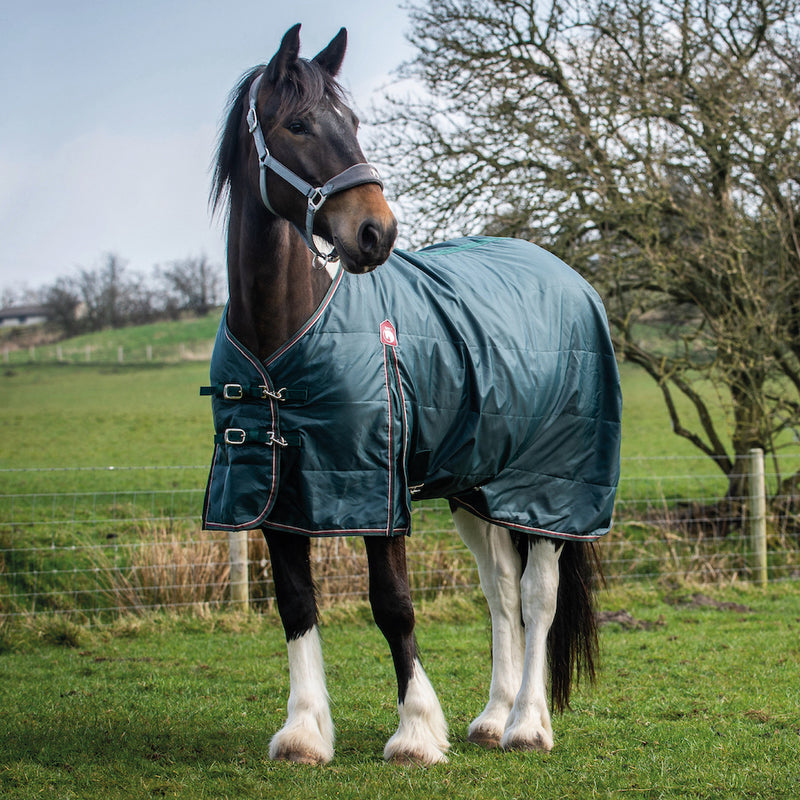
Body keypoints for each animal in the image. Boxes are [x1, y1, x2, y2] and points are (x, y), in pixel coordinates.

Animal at [203, 24, 621, 766]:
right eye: (299, 124)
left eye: (354, 124)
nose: (377, 232)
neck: (283, 333)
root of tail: (568, 276)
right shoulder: (280, 493)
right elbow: (295, 604)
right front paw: (305, 731)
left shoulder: (377, 489)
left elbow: (393, 603)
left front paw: (417, 732)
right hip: (477, 488)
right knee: (499, 593)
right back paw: (492, 718)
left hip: (552, 495)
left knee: (537, 598)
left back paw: (528, 724)